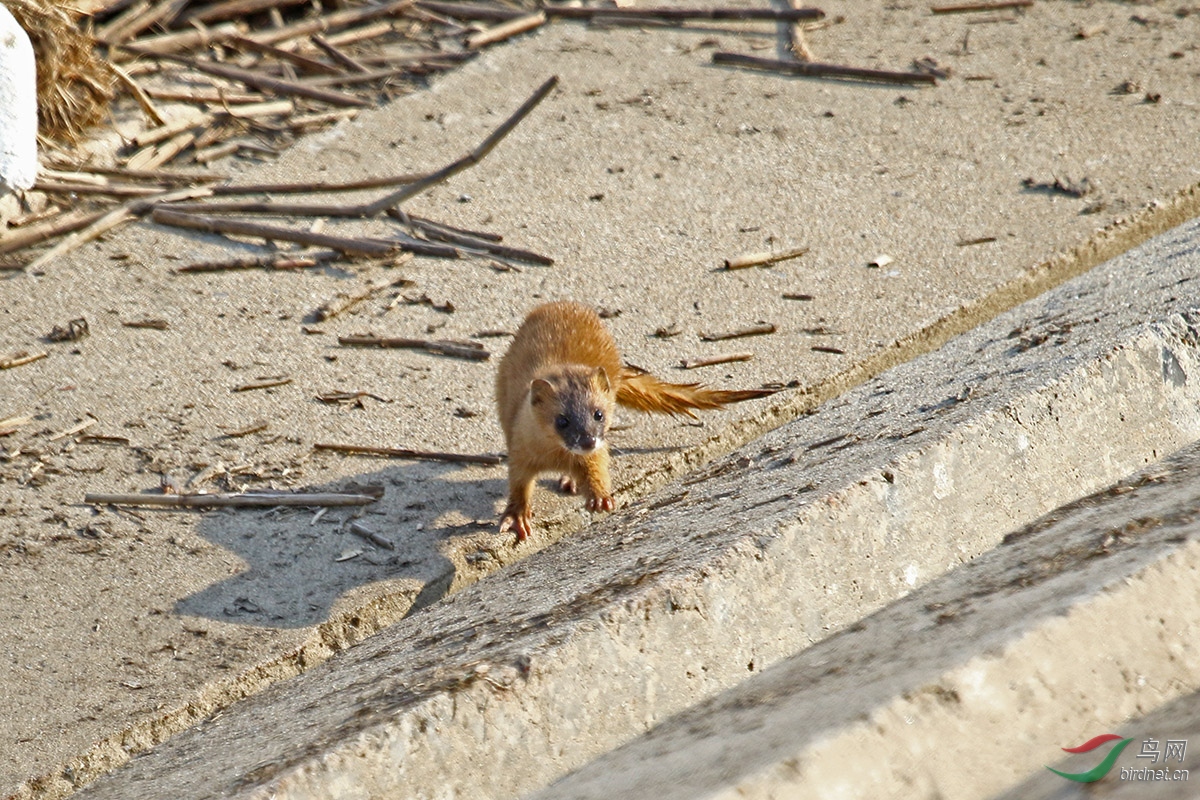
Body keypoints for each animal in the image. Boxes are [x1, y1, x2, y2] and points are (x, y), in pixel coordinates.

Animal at [494, 302, 768, 544]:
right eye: (562, 420)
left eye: (598, 414)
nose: (588, 441)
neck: (555, 457)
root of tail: (560, 304)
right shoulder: (519, 447)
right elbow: (518, 483)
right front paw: (516, 517)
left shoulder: (596, 451)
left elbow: (597, 469)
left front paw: (600, 498)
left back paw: (570, 481)